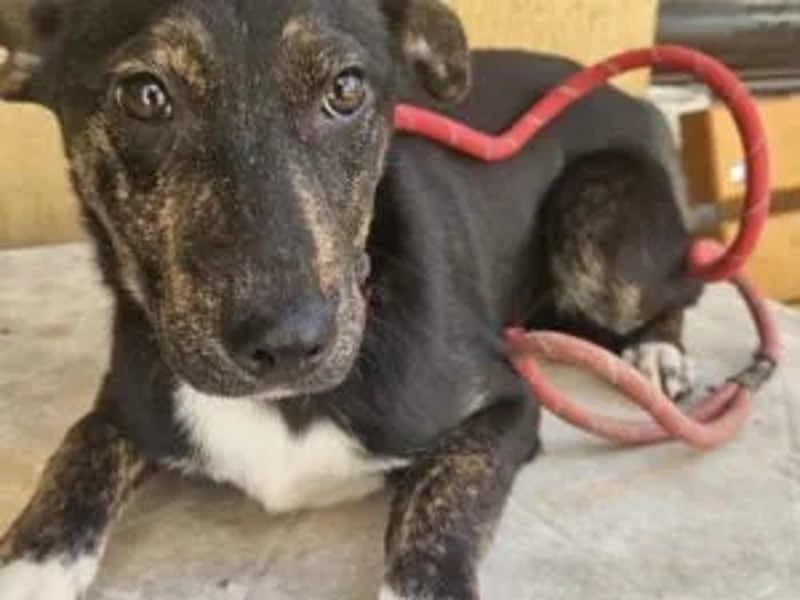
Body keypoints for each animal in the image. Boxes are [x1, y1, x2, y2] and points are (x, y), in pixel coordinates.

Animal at [0, 1, 703, 598]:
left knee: (684, 281)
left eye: (345, 90)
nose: (288, 344)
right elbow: (76, 456)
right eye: (144, 96)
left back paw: (657, 353)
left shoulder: (506, 406)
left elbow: (437, 506)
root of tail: (635, 103)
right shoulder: (123, 404)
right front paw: (29, 566)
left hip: (597, 223)